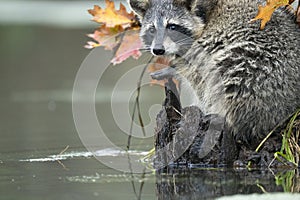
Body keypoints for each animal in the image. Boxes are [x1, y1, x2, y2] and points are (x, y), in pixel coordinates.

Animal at [129, 0, 300, 148]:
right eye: (152, 29)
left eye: (171, 26)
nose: (158, 50)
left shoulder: (206, 41)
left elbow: (195, 70)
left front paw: (173, 69)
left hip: (255, 68)